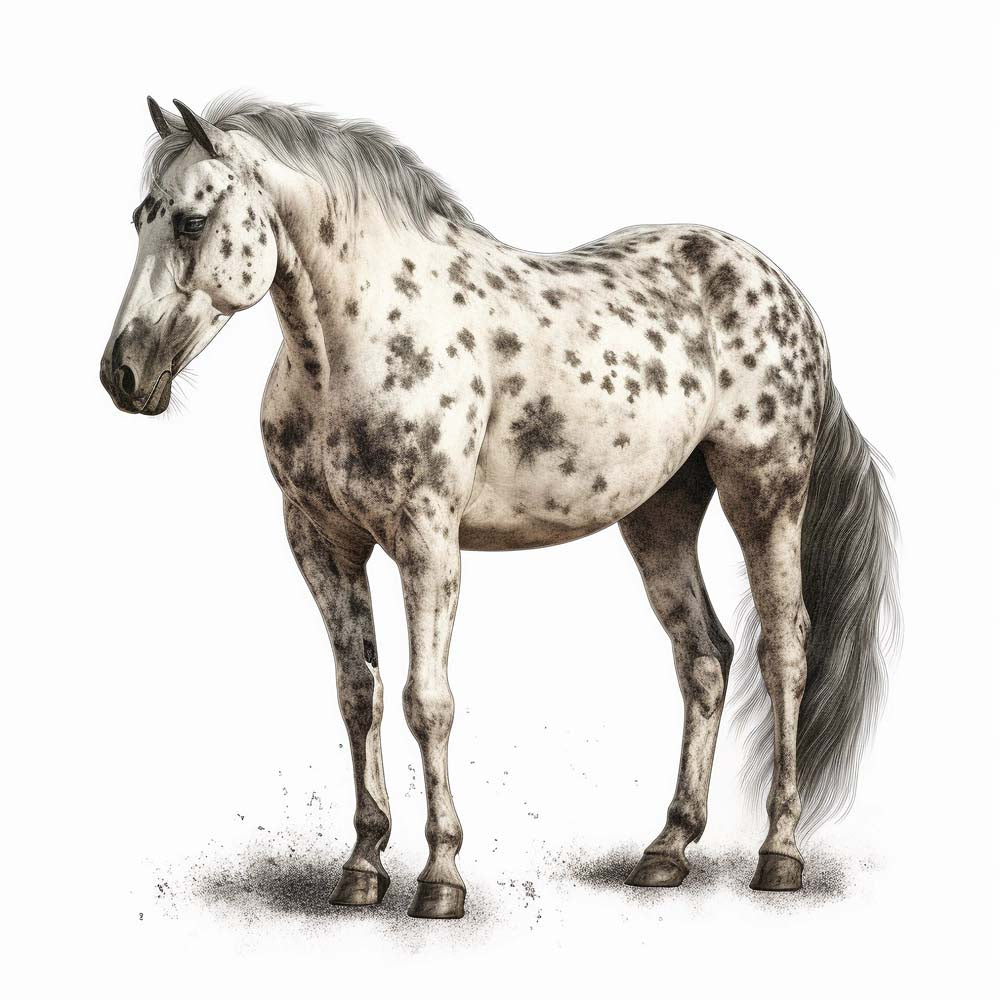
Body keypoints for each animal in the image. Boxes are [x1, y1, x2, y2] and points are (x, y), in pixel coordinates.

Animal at [100, 94, 899, 919]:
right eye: (139, 218)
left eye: (192, 221)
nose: (123, 374)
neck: (355, 337)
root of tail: (784, 291)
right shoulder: (321, 542)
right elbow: (359, 696)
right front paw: (361, 867)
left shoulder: (426, 540)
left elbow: (427, 701)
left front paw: (440, 876)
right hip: (659, 515)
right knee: (704, 657)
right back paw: (666, 851)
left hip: (765, 494)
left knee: (784, 651)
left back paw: (780, 855)